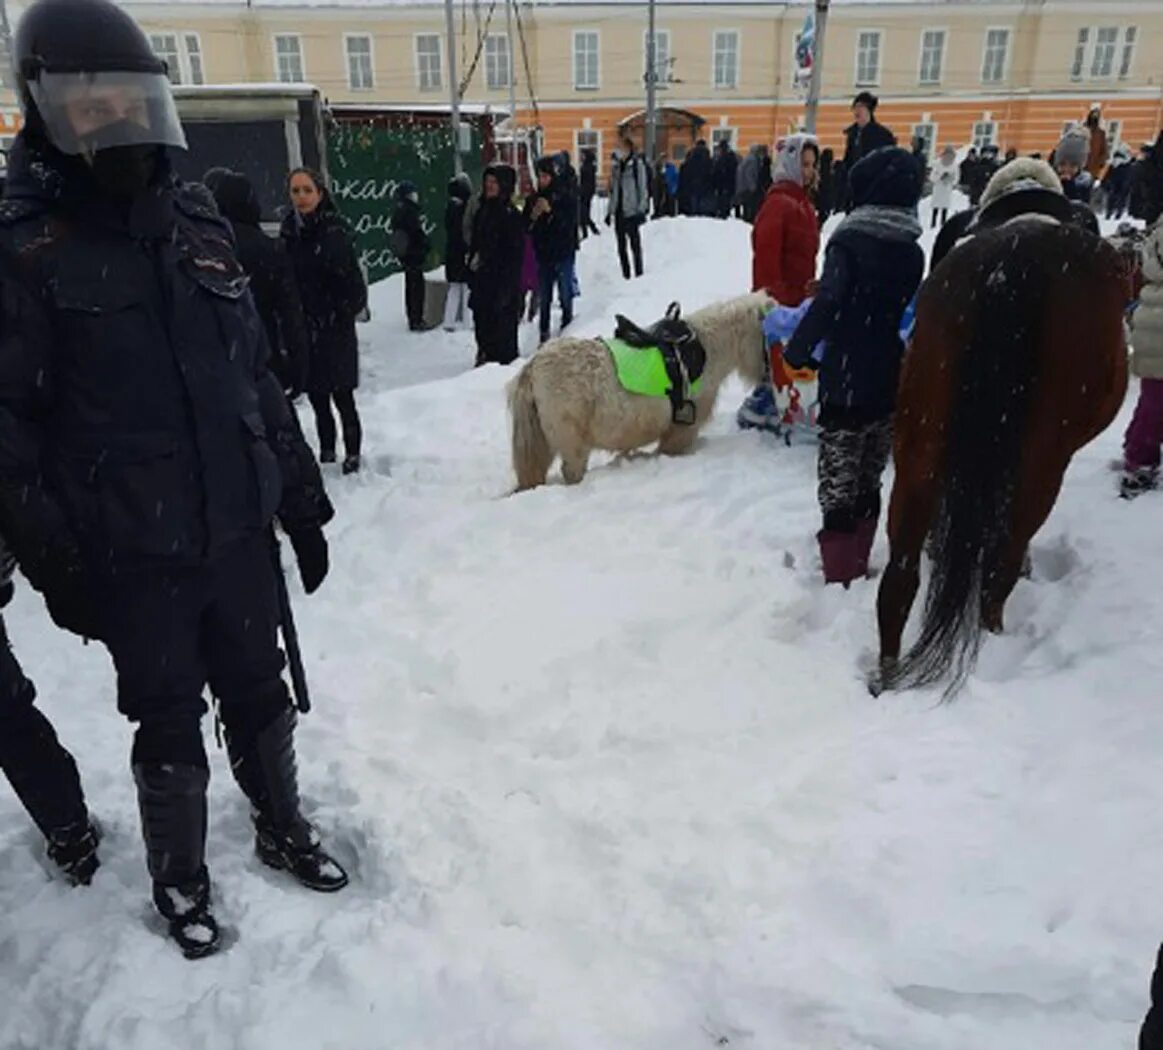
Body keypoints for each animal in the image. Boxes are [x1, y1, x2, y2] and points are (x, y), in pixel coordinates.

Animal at [507, 291, 772, 493]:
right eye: (766, 338)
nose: (768, 377)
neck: (704, 349)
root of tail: (533, 367)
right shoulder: (681, 431)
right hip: (572, 442)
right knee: (572, 470)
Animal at [874, 219, 1130, 697]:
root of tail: (1016, 261)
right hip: (1042, 463)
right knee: (1001, 565)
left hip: (919, 446)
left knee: (900, 576)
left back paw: (886, 672)